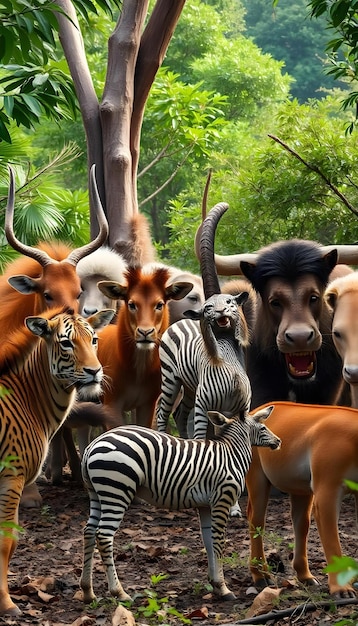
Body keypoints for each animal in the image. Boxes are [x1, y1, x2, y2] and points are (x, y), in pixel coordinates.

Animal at [79, 402, 282, 604]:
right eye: (263, 427)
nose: (279, 442)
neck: (232, 453)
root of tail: (92, 445)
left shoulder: (205, 506)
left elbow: (208, 542)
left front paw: (215, 584)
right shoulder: (222, 500)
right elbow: (218, 544)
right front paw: (224, 588)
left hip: (97, 494)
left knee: (89, 531)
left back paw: (88, 591)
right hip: (117, 491)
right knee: (104, 536)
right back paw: (119, 592)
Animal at [156, 292, 252, 438]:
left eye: (229, 301)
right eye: (208, 307)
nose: (220, 311)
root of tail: (181, 321)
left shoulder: (243, 408)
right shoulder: (202, 405)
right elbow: (200, 437)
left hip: (190, 387)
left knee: (180, 415)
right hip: (170, 380)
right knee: (162, 414)